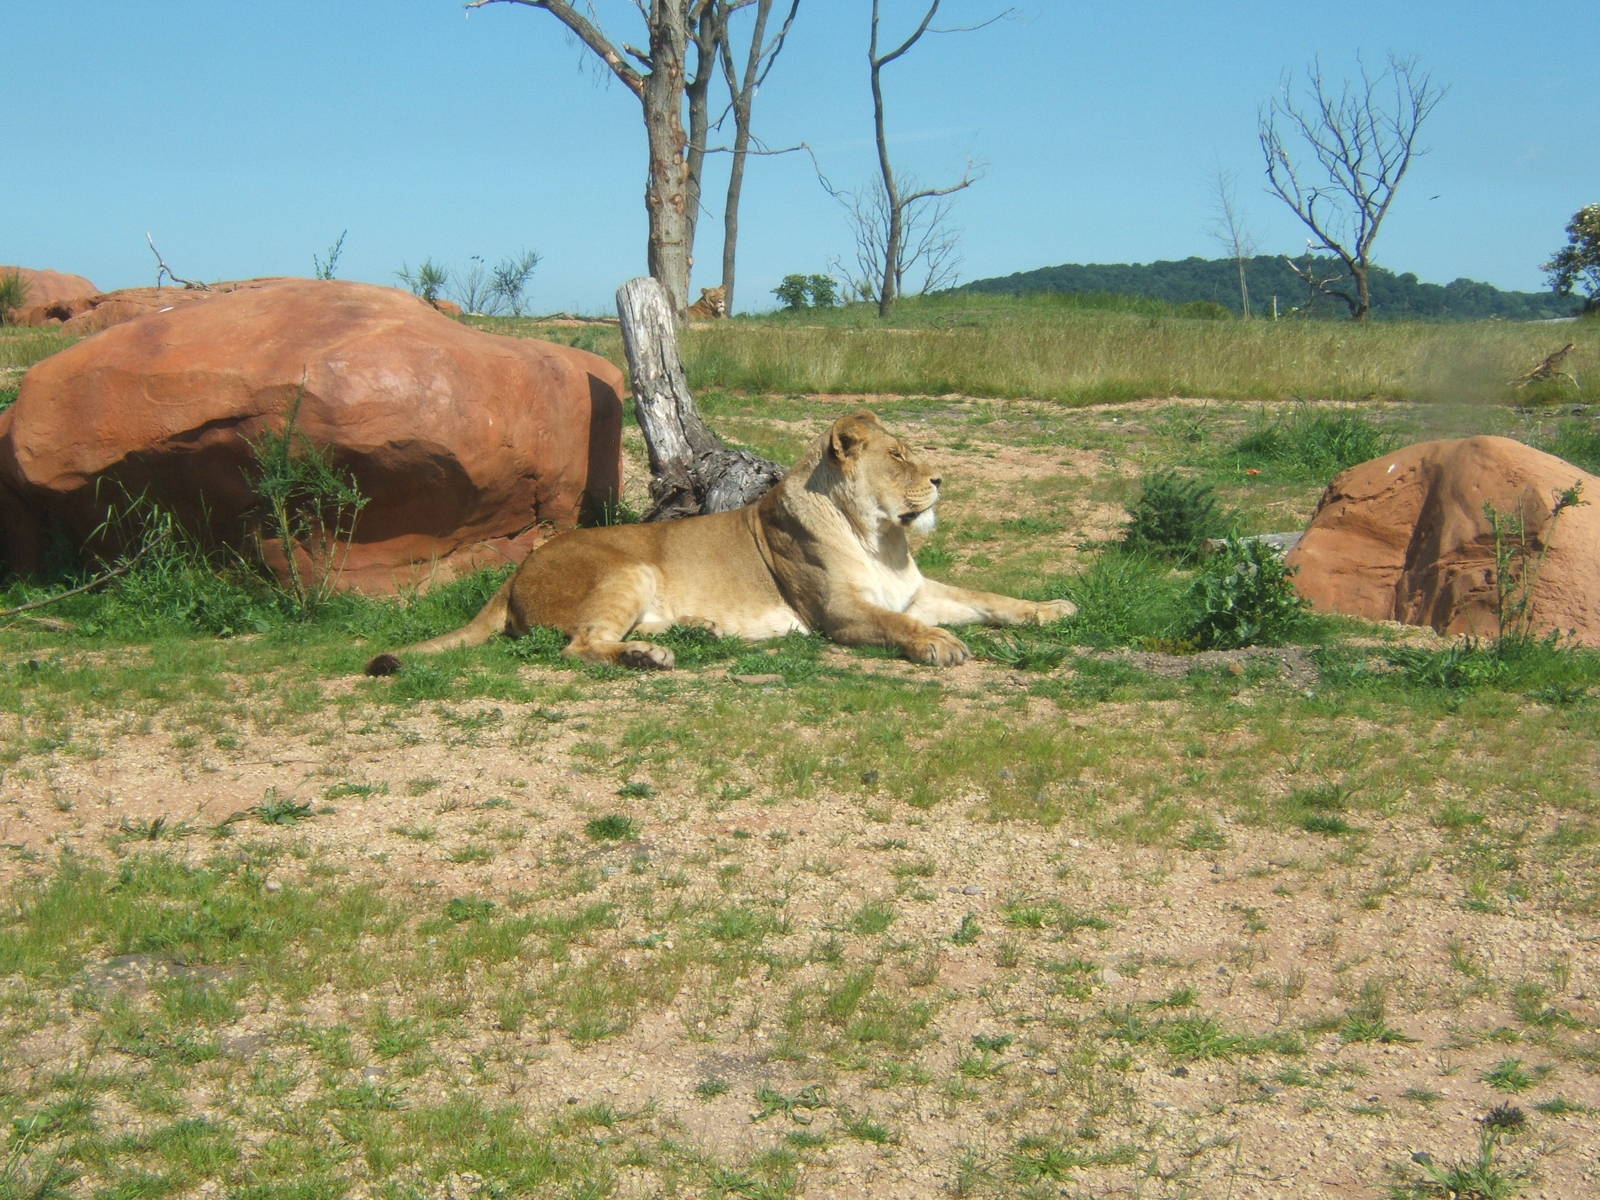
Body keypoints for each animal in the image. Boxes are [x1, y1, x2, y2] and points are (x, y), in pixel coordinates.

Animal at [365, 410, 1075, 675]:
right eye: (899, 456)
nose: (940, 479)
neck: (882, 539)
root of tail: (515, 572)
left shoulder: (915, 591)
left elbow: (990, 598)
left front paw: (1053, 609)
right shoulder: (838, 612)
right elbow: (897, 625)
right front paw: (939, 644)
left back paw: (690, 632)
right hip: (627, 572)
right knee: (578, 646)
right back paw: (647, 656)